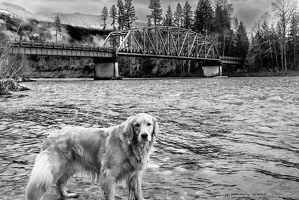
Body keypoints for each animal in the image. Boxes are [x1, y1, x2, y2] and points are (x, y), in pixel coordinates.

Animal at [26, 113, 159, 199]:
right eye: (137, 125)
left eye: (149, 124)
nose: (144, 135)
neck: (129, 144)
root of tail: (50, 136)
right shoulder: (108, 175)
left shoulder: (135, 174)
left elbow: (139, 194)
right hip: (53, 169)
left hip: (70, 167)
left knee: (60, 183)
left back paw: (67, 195)